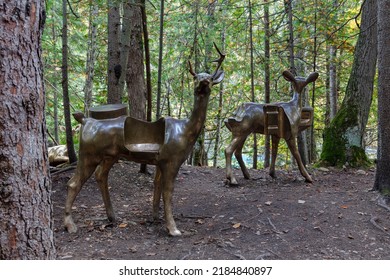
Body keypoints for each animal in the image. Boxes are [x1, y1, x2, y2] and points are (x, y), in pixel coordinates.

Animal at [64, 43, 225, 236]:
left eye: (210, 78)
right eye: (195, 77)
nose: (203, 83)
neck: (186, 131)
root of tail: (85, 120)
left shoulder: (160, 160)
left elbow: (157, 187)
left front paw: (156, 218)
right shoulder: (171, 160)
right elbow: (168, 192)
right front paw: (173, 229)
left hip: (110, 156)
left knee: (101, 176)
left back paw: (112, 217)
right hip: (88, 154)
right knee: (73, 183)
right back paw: (70, 225)